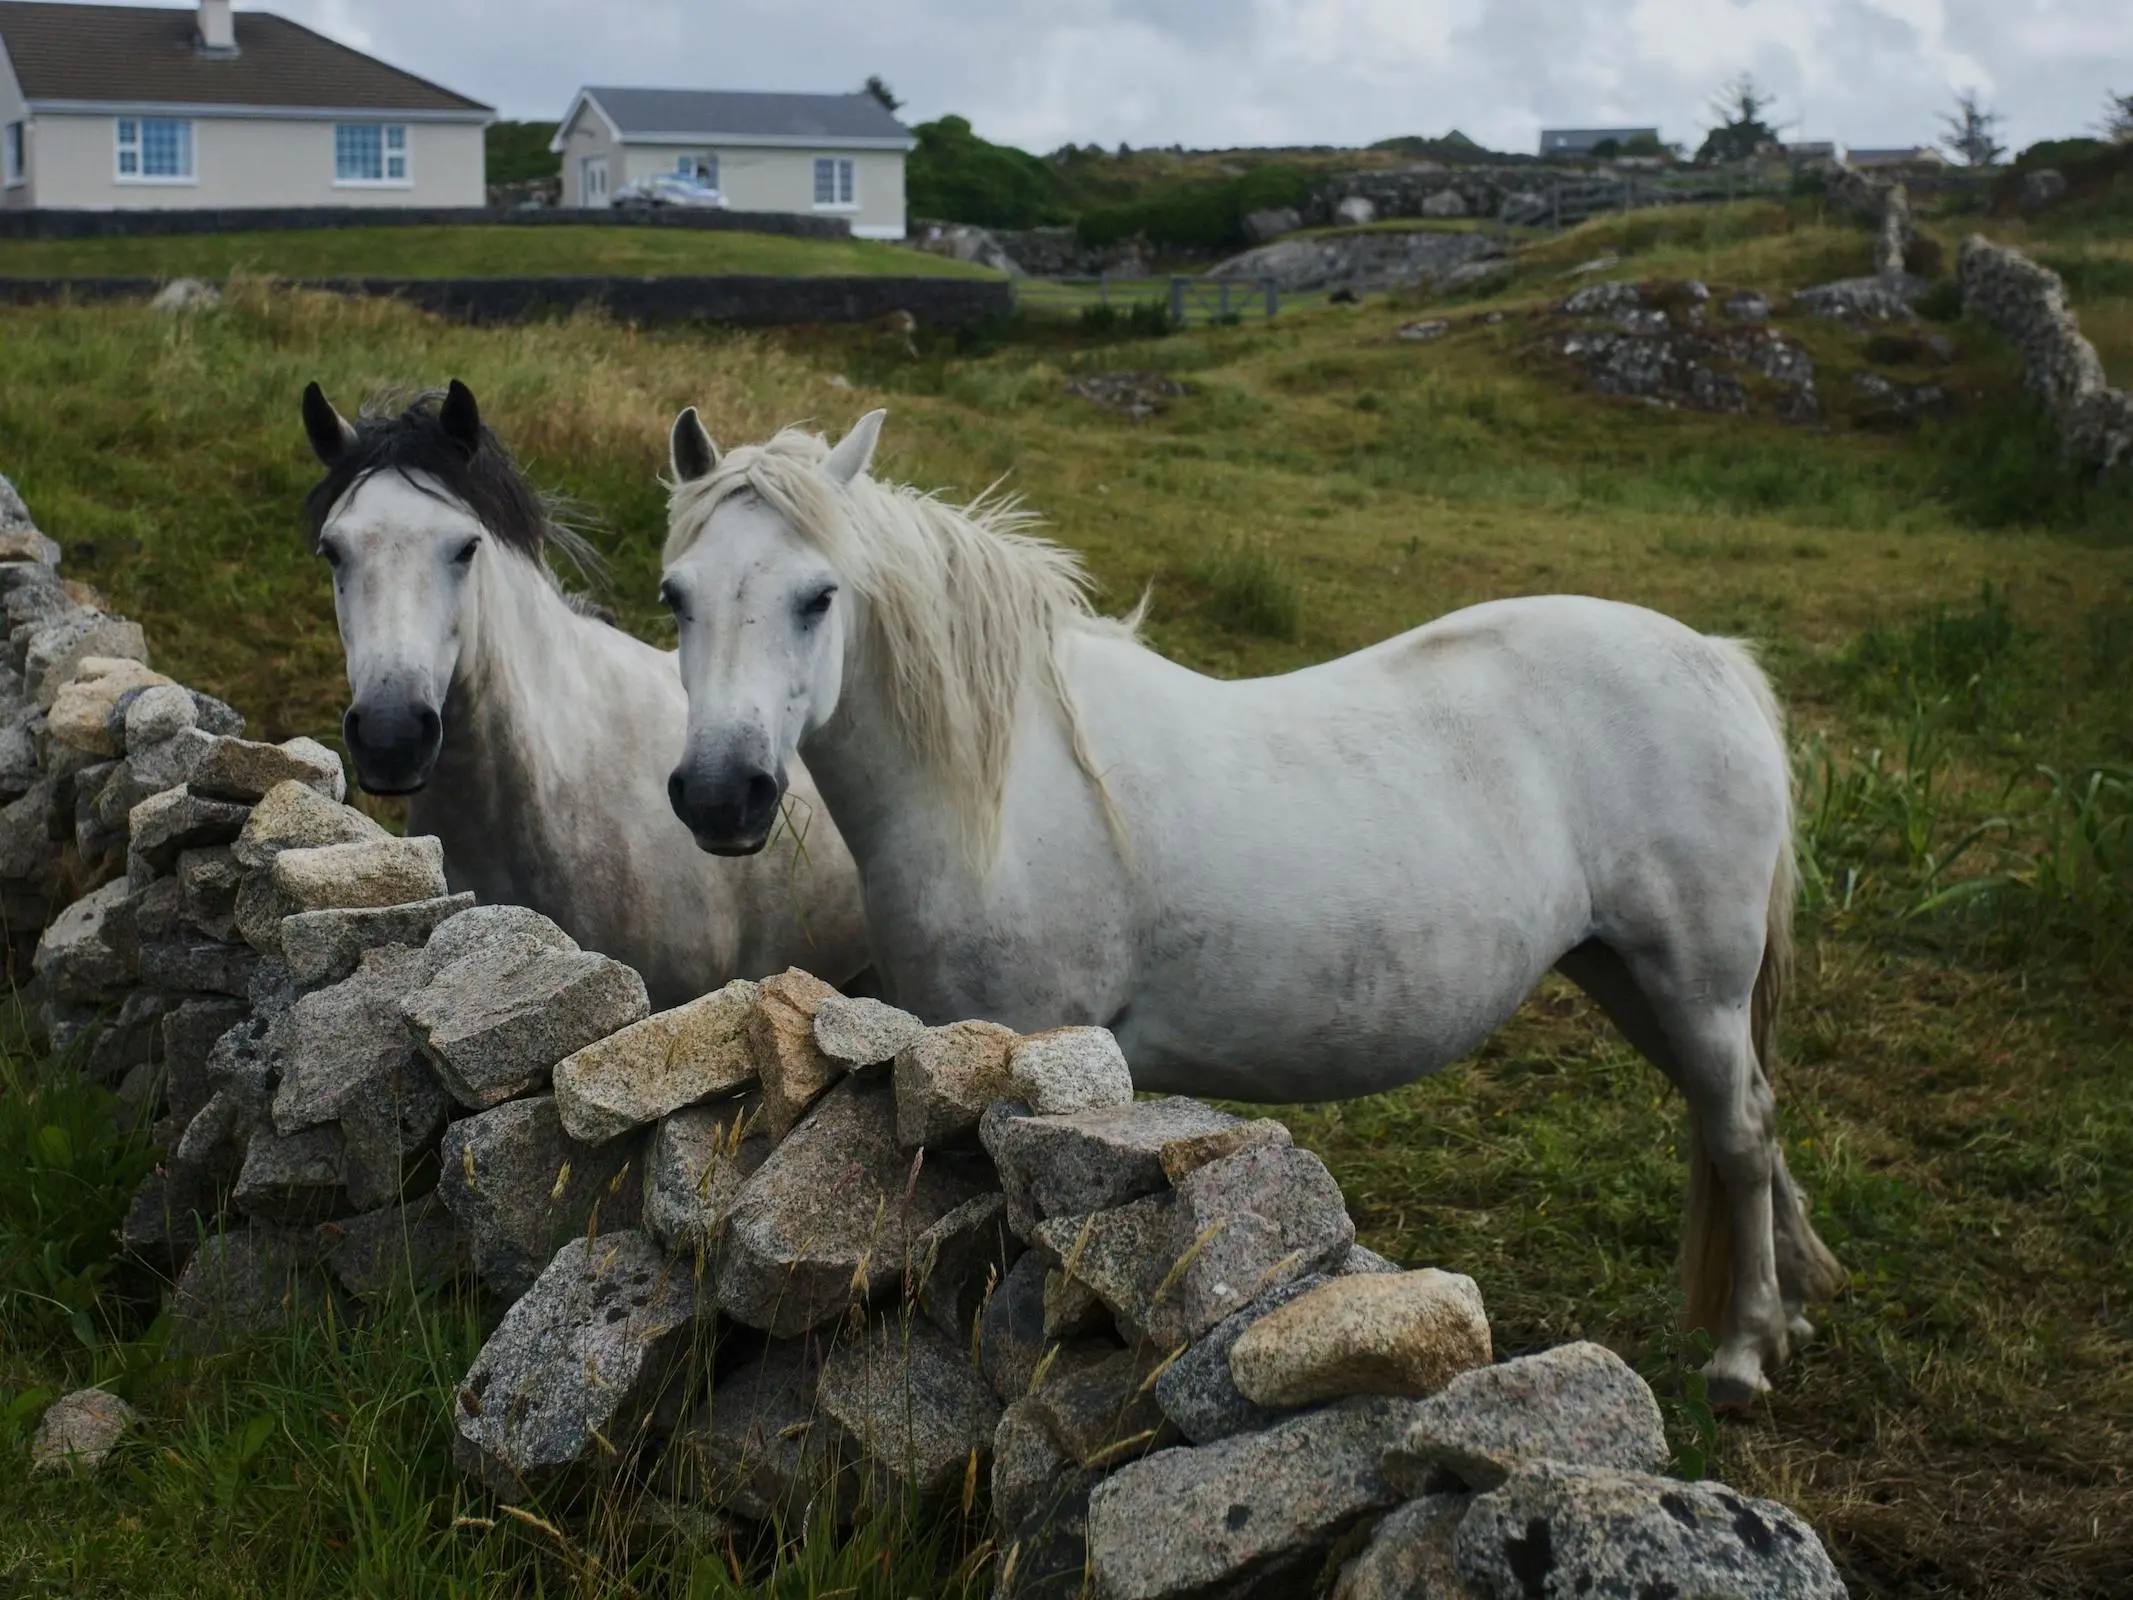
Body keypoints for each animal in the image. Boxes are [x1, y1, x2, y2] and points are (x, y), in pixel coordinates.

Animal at [656, 407, 1842, 1408]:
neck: (999, 788)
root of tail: (1713, 660)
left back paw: (1743, 1357)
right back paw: (1789, 1312)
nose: (721, 794)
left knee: (1737, 1131)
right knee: (1740, 1114)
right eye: (676, 595)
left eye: (819, 595)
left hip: (1694, 979)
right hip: (1631, 977)